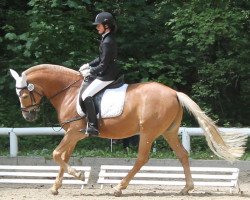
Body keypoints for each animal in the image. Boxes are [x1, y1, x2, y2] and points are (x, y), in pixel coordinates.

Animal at [9, 65, 246, 196]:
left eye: (23, 94)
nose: (28, 116)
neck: (69, 91)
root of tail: (174, 93)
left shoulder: (74, 132)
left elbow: (57, 154)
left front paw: (78, 175)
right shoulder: (73, 135)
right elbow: (63, 157)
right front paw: (56, 187)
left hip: (148, 132)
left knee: (142, 158)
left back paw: (118, 187)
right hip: (169, 132)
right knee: (182, 154)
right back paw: (186, 188)